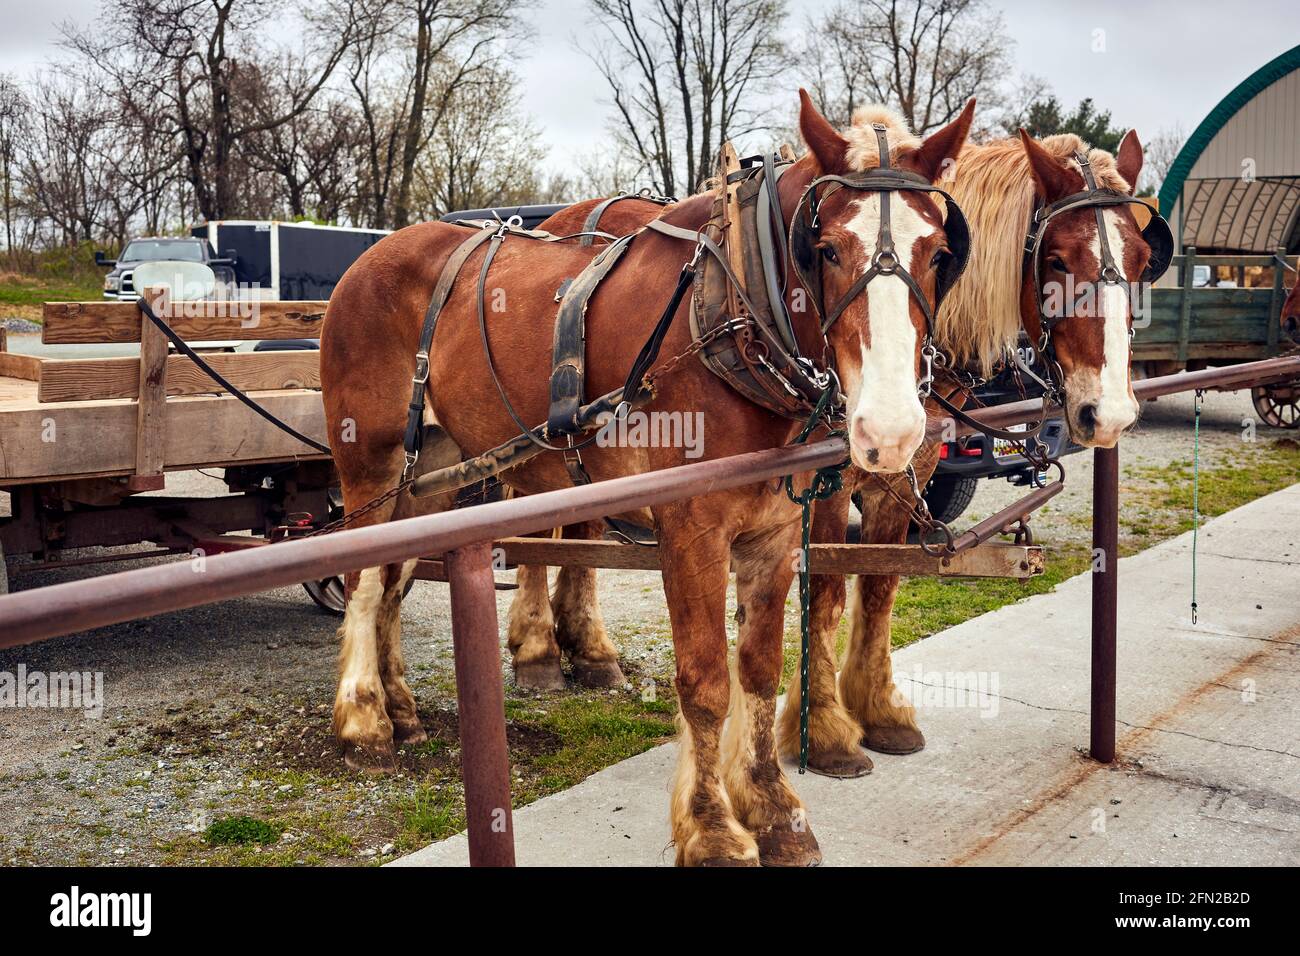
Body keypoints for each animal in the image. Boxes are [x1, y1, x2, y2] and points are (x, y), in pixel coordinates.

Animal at [322, 91, 977, 868]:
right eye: (826, 249)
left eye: (938, 253)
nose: (893, 429)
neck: (731, 313)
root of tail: (369, 254)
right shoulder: (692, 528)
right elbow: (706, 681)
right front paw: (713, 828)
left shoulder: (776, 531)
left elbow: (758, 669)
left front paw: (773, 809)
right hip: (371, 467)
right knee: (365, 582)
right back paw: (365, 720)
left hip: (435, 473)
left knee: (394, 580)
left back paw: (399, 707)